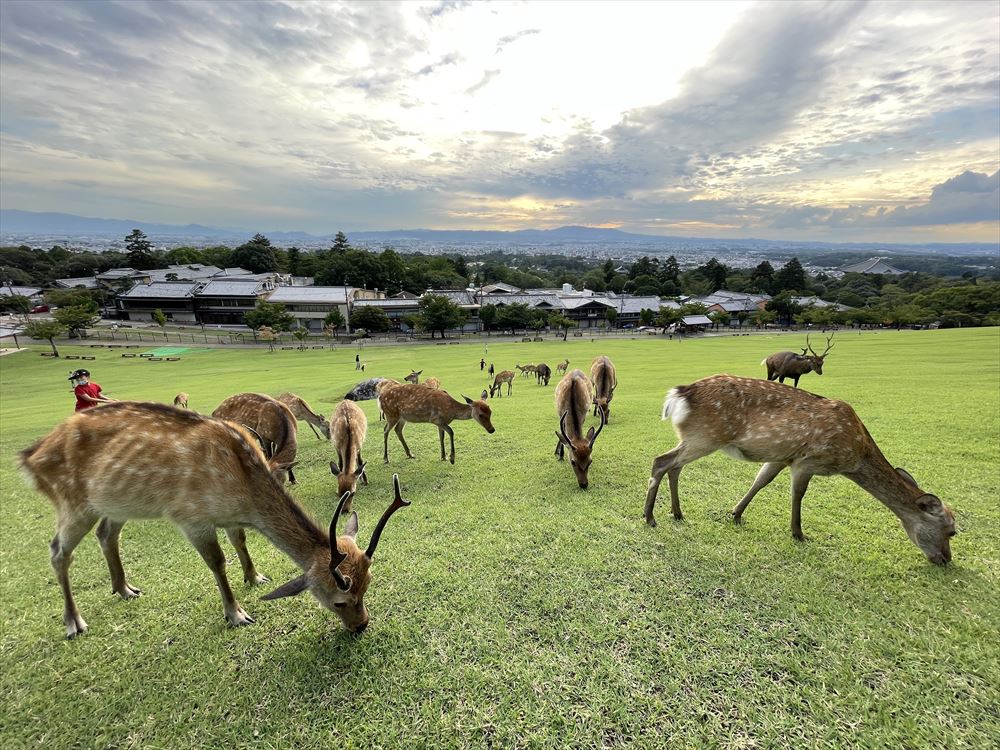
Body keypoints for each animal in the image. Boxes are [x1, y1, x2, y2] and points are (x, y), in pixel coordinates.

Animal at [19, 406, 410, 640]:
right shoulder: (192, 516)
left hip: (114, 504)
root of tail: (29, 455)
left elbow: (240, 542)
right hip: (72, 501)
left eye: (367, 587)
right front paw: (237, 613)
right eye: (339, 601)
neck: (243, 488)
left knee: (105, 534)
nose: (362, 625)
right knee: (57, 551)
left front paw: (255, 577)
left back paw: (125, 588)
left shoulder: (231, 516)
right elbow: (218, 562)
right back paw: (74, 622)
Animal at [644, 376, 956, 564]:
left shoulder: (782, 456)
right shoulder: (808, 460)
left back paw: (677, 513)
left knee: (673, 467)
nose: (946, 559)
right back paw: (650, 517)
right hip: (705, 436)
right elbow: (798, 494)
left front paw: (736, 514)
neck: (855, 454)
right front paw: (798, 533)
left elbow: (761, 480)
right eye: (952, 531)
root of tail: (678, 395)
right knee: (661, 462)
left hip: (695, 438)